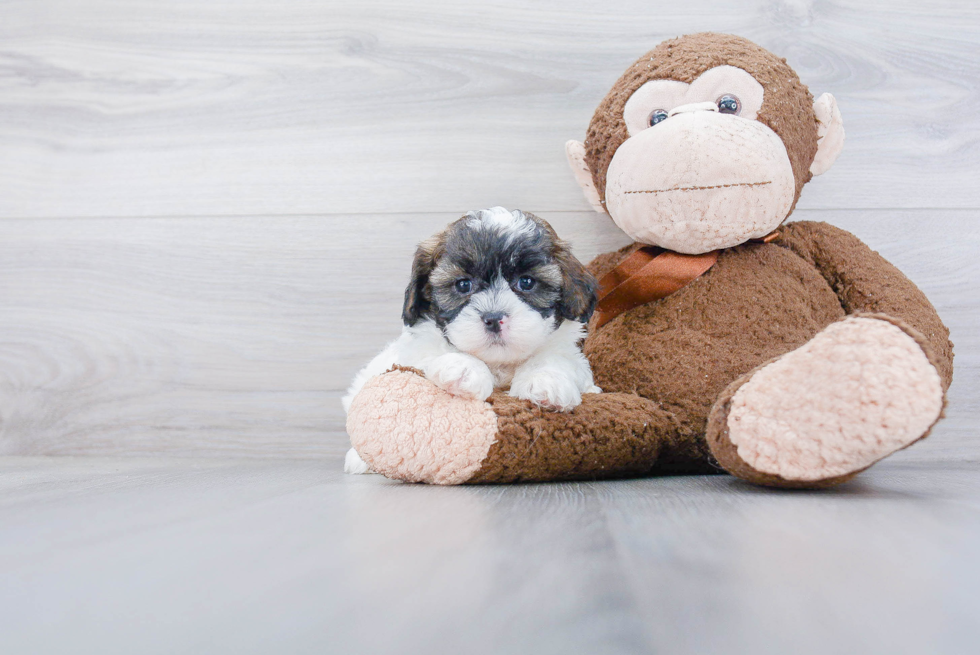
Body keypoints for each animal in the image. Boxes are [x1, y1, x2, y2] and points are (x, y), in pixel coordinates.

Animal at [344, 208, 604, 474]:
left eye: (527, 282)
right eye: (463, 284)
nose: (493, 318)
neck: (499, 363)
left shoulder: (568, 351)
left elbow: (555, 358)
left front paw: (545, 382)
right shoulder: (417, 348)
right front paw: (464, 368)